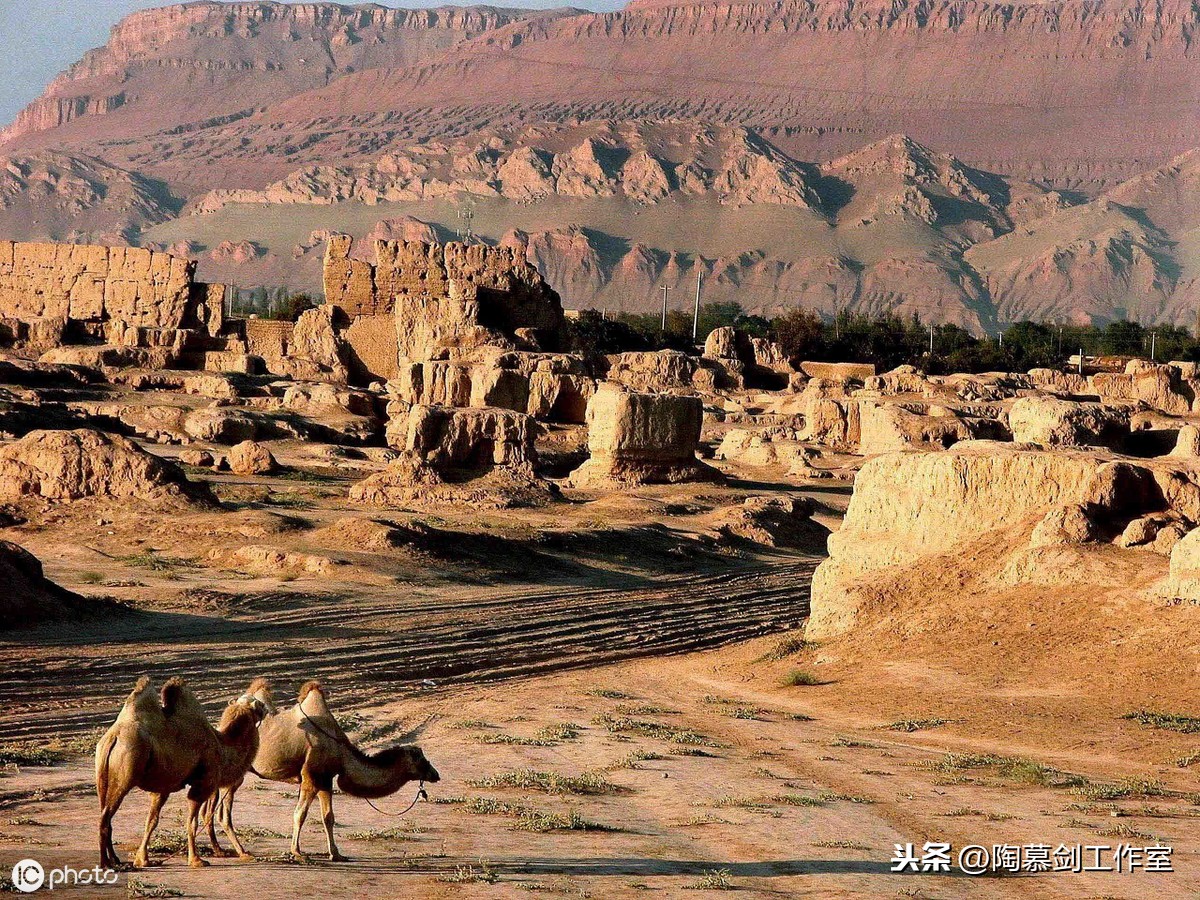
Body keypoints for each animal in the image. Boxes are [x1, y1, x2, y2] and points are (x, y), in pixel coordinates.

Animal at [97, 681, 268, 868]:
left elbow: (151, 821)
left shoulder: (162, 788)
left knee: (105, 814)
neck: (223, 747)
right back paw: (106, 863)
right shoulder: (202, 784)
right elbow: (192, 822)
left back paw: (115, 859)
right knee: (105, 818)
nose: (266, 708)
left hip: (102, 777)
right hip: (125, 775)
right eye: (258, 704)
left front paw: (143, 860)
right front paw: (196, 860)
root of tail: (114, 736)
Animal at [213, 681, 444, 864]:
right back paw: (242, 852)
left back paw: (220, 850)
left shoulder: (325, 779)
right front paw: (298, 853)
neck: (340, 750)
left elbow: (328, 817)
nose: (436, 774)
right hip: (236, 773)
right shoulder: (311, 776)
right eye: (420, 758)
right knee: (223, 813)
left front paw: (336, 854)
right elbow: (300, 814)